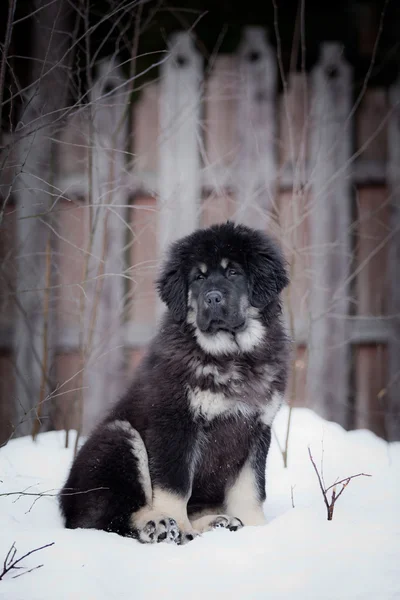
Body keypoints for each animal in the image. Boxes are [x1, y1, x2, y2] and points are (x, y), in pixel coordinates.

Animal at [59, 220, 290, 544]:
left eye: (233, 272)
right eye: (199, 278)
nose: (212, 298)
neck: (230, 355)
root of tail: (64, 503)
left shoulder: (257, 428)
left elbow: (251, 488)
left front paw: (258, 529)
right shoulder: (175, 423)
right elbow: (175, 486)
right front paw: (179, 527)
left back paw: (217, 522)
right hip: (117, 438)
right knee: (102, 518)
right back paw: (156, 525)